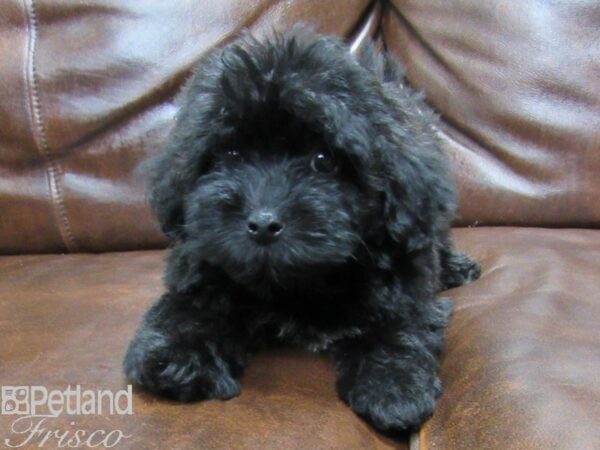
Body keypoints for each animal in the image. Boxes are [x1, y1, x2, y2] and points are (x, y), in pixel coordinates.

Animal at [124, 28, 480, 432]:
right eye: (230, 155)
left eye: (323, 160)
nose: (263, 223)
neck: (299, 284)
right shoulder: (200, 265)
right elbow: (185, 309)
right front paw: (177, 357)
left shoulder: (404, 271)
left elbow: (403, 321)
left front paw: (394, 385)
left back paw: (457, 268)